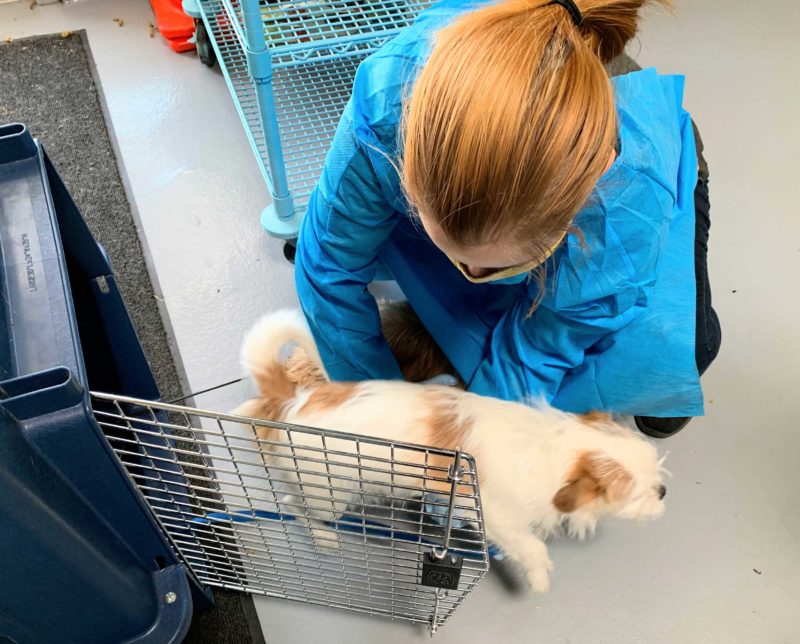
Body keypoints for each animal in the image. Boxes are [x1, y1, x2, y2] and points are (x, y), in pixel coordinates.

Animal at [234, 310, 664, 592]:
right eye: (634, 493)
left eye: (655, 471)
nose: (663, 492)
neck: (550, 446)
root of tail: (290, 402)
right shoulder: (495, 513)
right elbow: (528, 544)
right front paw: (540, 574)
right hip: (328, 492)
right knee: (294, 505)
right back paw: (324, 538)